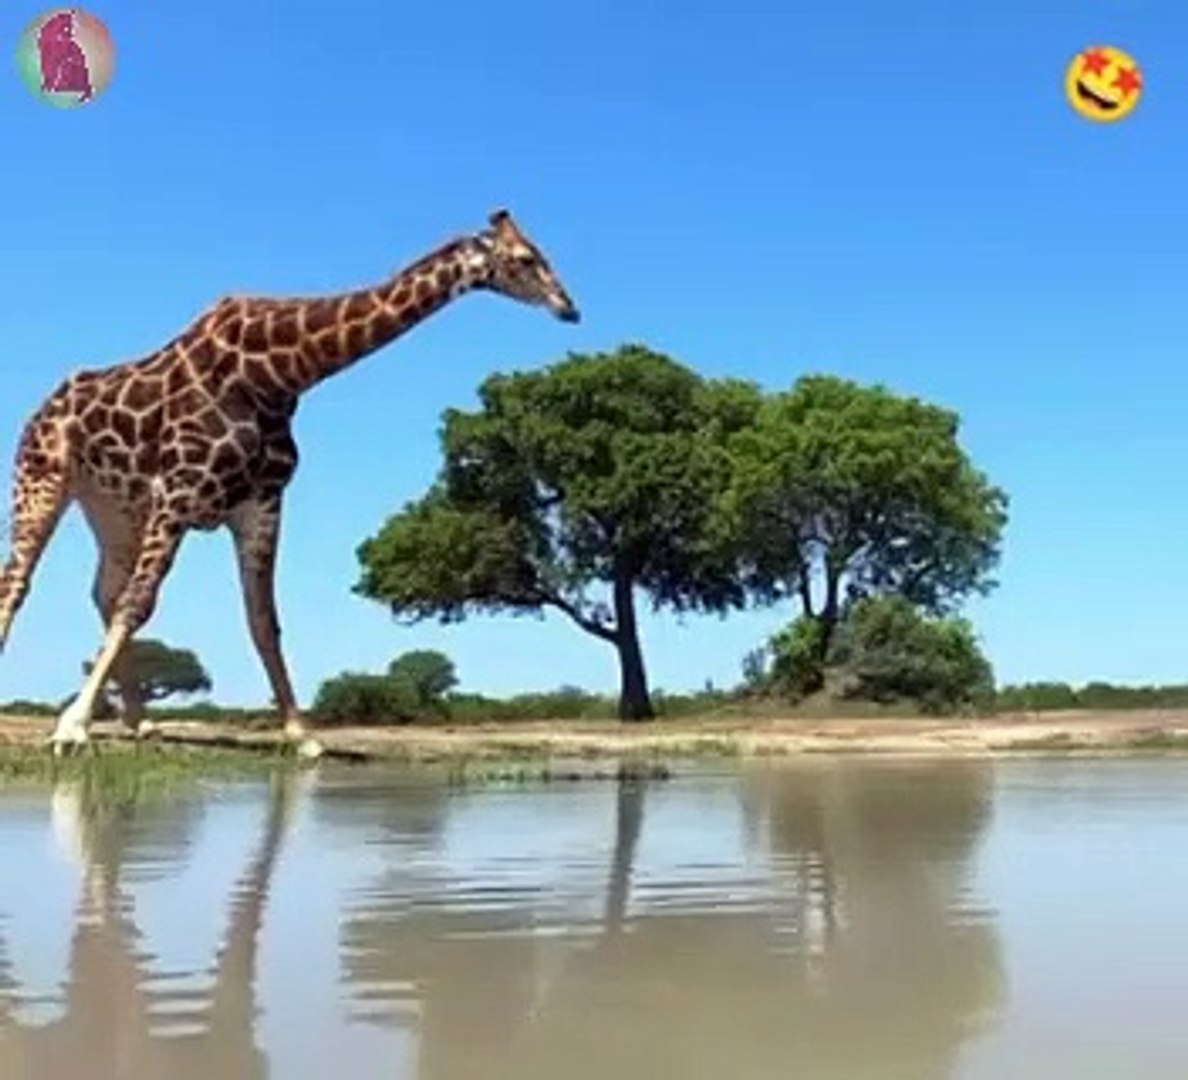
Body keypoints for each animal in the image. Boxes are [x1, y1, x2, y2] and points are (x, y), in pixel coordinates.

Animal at [0, 208, 580, 757]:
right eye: (527, 259)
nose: (570, 308)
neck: (282, 374)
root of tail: (40, 409)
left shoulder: (262, 503)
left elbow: (264, 620)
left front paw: (301, 734)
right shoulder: (180, 492)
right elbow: (140, 603)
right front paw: (72, 727)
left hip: (115, 506)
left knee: (103, 590)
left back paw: (141, 721)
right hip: (43, 479)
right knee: (20, 582)